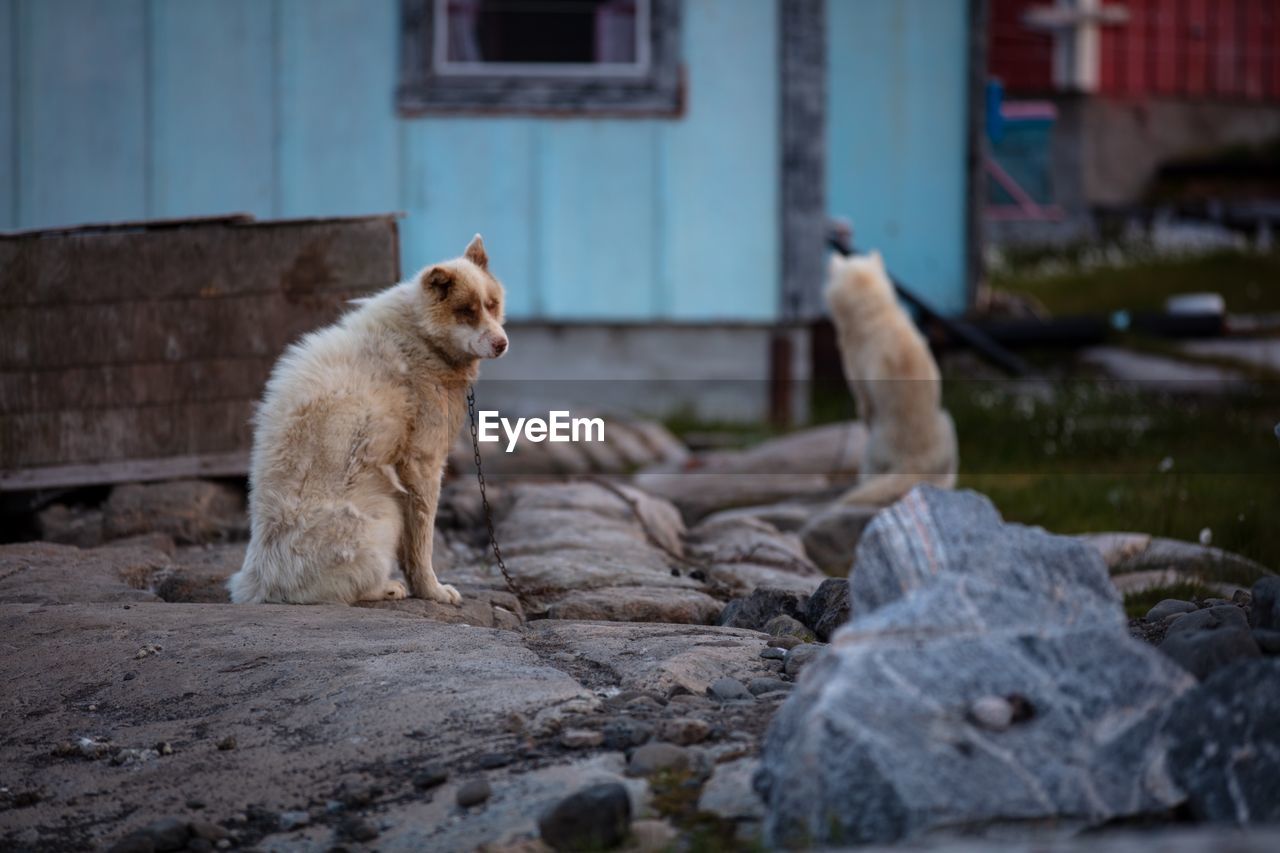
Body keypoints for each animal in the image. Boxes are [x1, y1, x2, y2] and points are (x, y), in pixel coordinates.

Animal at [227, 235, 506, 601]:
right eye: (467, 312)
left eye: (492, 305)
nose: (502, 343)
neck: (422, 337)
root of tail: (262, 584)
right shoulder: (423, 465)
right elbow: (422, 543)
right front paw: (431, 591)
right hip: (386, 514)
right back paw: (386, 589)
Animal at [824, 249, 957, 507]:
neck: (874, 311)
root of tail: (913, 461)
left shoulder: (861, 390)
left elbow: (864, 408)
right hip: (947, 421)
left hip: (873, 445)